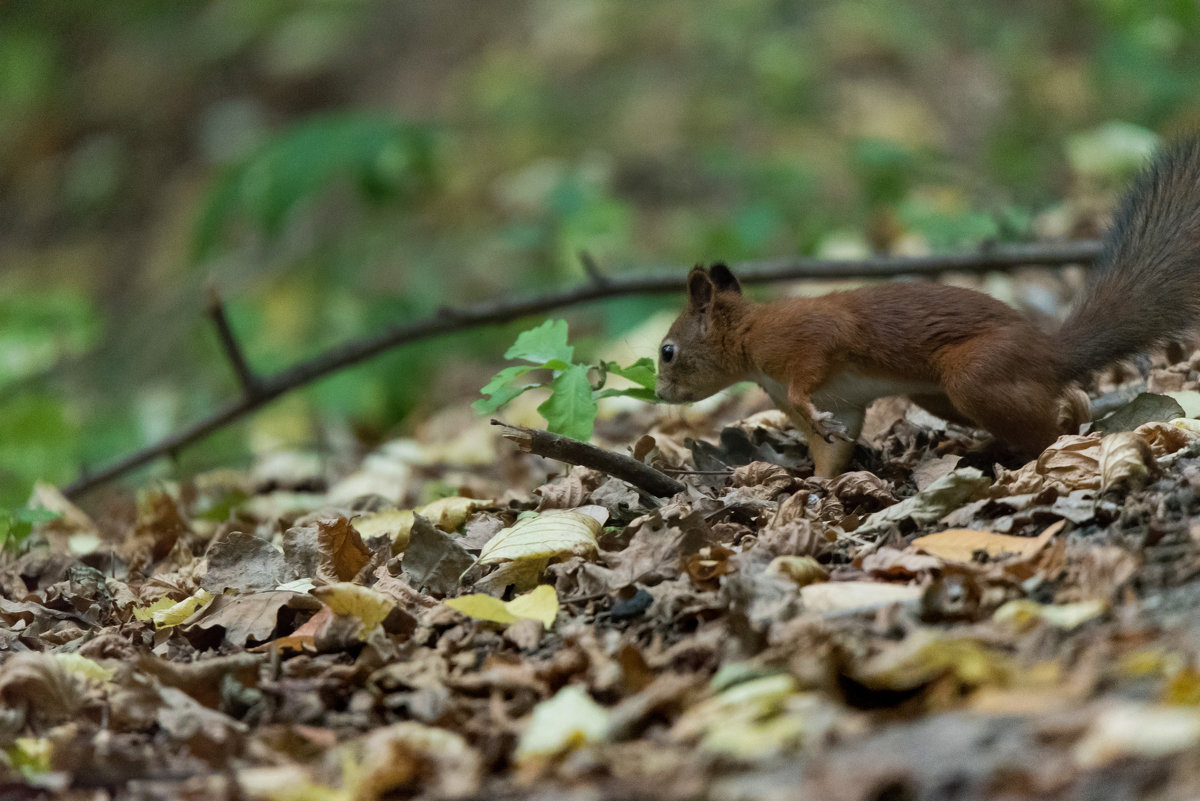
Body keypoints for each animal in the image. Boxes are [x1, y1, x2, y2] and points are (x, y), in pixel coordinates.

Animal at [662, 137, 1200, 474]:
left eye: (667, 351)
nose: (662, 393)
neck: (749, 341)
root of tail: (1050, 354)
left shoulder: (808, 336)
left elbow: (816, 361)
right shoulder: (841, 403)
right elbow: (832, 451)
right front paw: (816, 483)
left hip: (975, 374)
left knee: (1048, 430)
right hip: (939, 397)